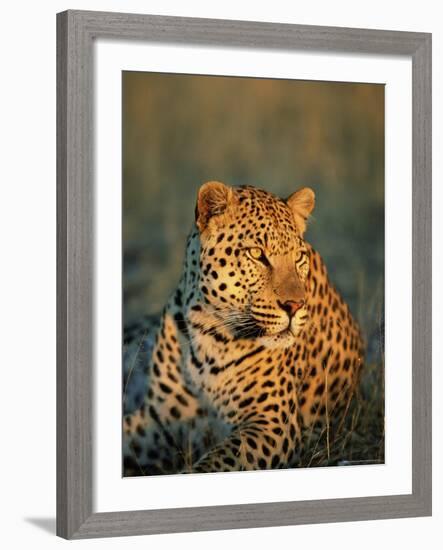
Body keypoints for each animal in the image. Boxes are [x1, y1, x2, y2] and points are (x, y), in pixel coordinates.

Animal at [124, 183, 364, 476]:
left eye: (299, 257)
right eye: (257, 254)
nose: (295, 305)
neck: (209, 329)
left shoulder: (272, 423)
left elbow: (216, 462)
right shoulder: (159, 419)